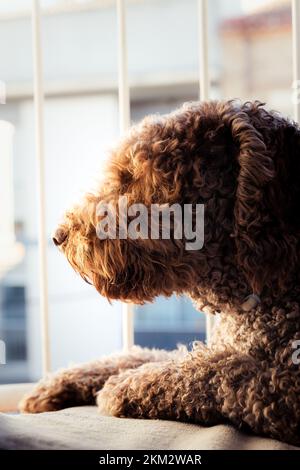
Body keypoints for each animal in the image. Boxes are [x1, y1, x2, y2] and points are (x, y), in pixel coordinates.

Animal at [19, 101, 300, 446]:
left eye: (131, 176)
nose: (59, 236)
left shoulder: (285, 386)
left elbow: (219, 371)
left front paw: (126, 385)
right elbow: (151, 356)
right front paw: (60, 382)